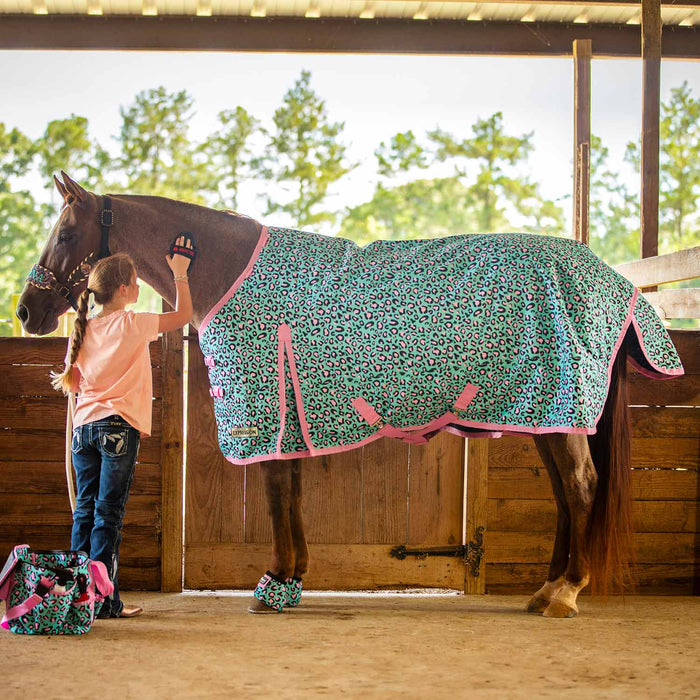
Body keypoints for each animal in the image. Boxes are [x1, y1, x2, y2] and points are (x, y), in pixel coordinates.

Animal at [17, 171, 649, 618]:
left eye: (67, 234)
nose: (27, 311)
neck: (227, 267)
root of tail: (615, 279)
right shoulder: (291, 416)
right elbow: (291, 494)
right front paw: (292, 578)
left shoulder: (266, 408)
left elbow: (276, 495)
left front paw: (272, 584)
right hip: (546, 418)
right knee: (566, 495)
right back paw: (546, 590)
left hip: (560, 415)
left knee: (581, 487)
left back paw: (565, 594)